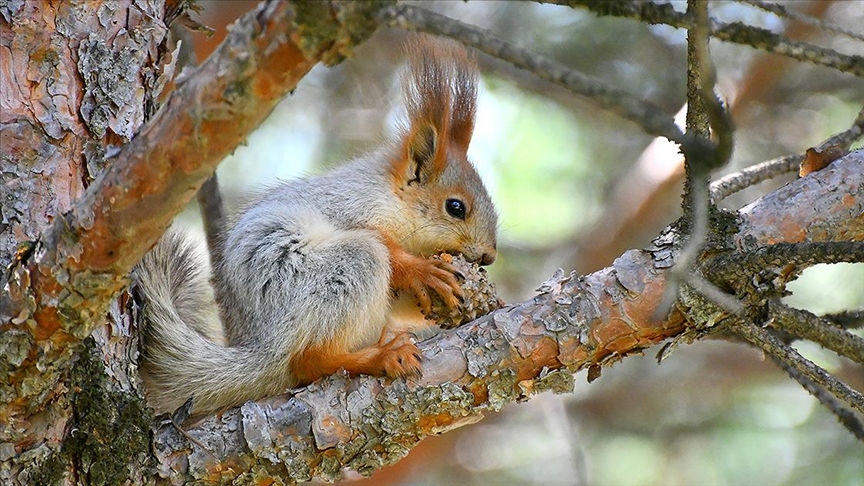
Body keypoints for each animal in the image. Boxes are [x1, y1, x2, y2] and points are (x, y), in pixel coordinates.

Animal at [135, 39, 500, 418]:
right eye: (456, 207)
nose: (489, 257)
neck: (390, 197)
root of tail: (263, 347)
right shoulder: (350, 209)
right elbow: (386, 247)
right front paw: (422, 270)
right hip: (334, 272)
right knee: (309, 359)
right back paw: (381, 356)